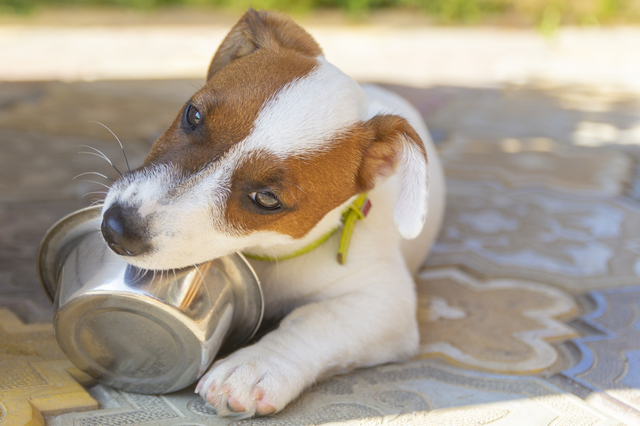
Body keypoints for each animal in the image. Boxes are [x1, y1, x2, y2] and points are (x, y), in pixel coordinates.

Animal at [100, 8, 444, 418]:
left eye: (266, 199)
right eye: (193, 115)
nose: (116, 229)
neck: (268, 252)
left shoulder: (384, 301)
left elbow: (315, 318)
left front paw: (255, 367)